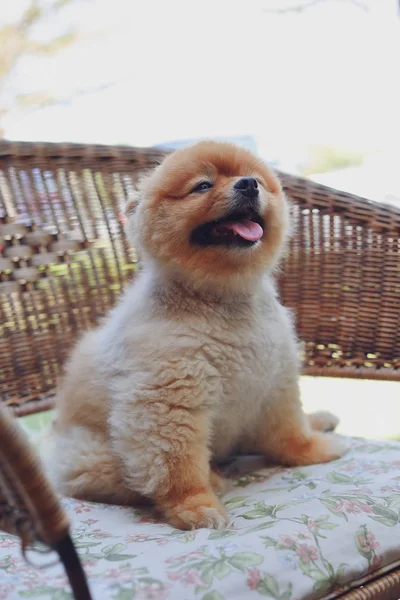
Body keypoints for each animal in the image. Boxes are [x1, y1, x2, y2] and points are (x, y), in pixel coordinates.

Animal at [47, 142, 346, 528]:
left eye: (255, 179)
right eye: (202, 186)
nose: (248, 185)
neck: (222, 300)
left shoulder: (275, 378)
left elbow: (290, 430)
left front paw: (313, 449)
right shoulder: (167, 400)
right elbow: (176, 466)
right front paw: (196, 506)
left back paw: (319, 421)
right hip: (85, 454)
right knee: (123, 475)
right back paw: (214, 478)